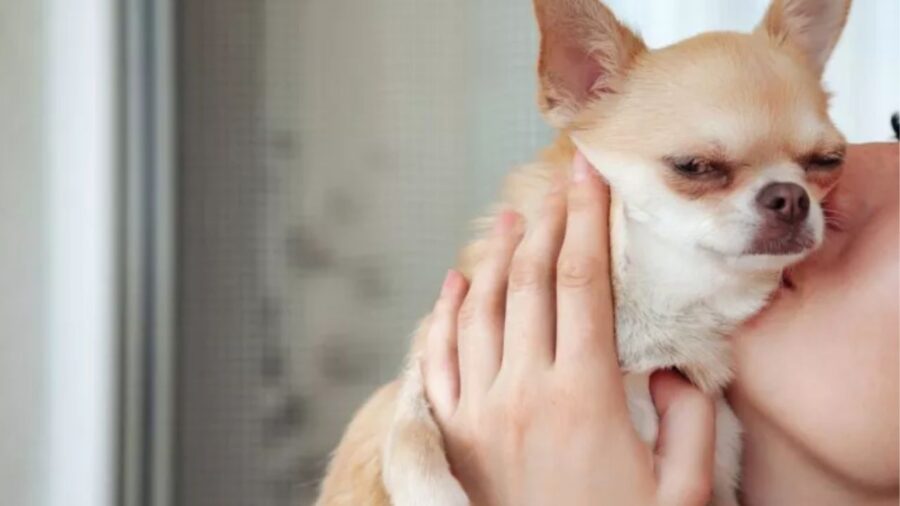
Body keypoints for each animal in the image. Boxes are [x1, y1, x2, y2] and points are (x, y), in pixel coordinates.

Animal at [316, 0, 852, 502]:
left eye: (828, 161)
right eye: (694, 166)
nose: (791, 197)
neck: (662, 305)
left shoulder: (721, 448)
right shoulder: (420, 371)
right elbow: (409, 433)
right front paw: (436, 494)